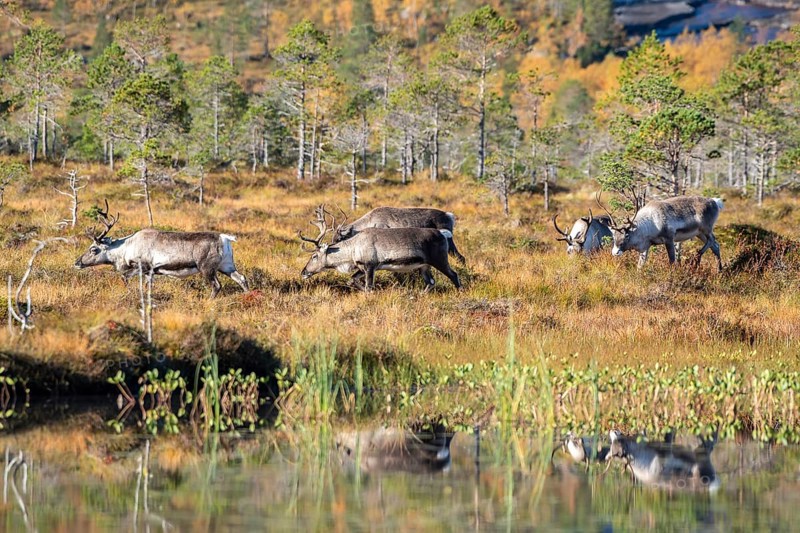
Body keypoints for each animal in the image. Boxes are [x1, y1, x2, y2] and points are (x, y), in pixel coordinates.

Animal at [74, 200, 249, 297]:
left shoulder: (143, 267)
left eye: (94, 249)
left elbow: (125, 278)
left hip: (207, 267)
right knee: (241, 278)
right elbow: (147, 286)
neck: (126, 248)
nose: (77, 262)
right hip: (226, 265)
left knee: (217, 285)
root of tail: (225, 238)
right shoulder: (151, 272)